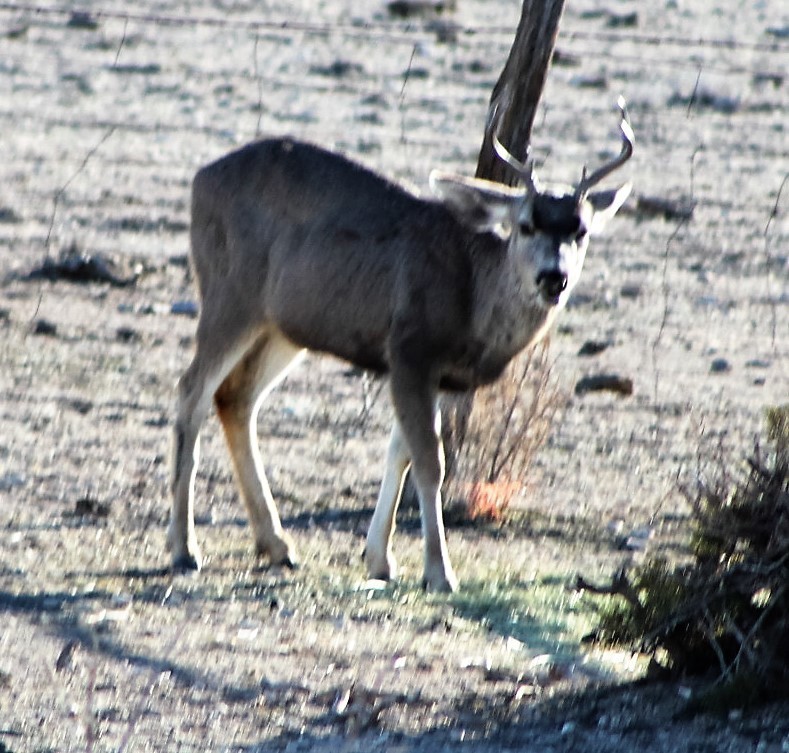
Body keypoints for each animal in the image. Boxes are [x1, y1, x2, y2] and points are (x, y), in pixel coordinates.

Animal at [168, 100, 634, 592]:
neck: (473, 295)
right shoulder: (411, 349)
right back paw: (184, 548)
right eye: (524, 225)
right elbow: (431, 462)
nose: (553, 277)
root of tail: (200, 179)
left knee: (235, 397)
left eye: (581, 231)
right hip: (230, 294)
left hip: (282, 326)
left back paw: (277, 545)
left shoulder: (438, 375)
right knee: (192, 390)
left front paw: (380, 559)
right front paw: (440, 572)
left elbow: (400, 454)